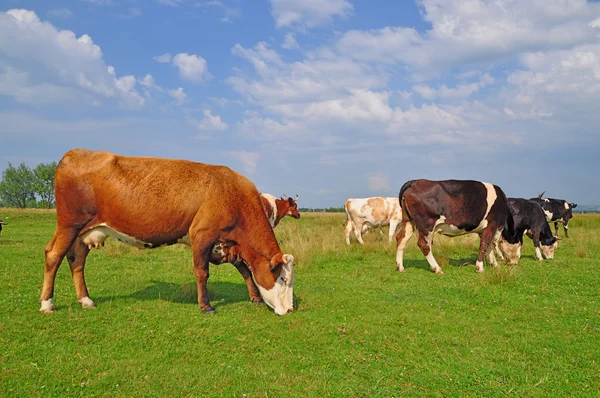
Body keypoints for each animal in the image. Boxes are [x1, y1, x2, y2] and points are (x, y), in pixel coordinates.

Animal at [39, 149, 296, 318]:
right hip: (69, 224)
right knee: (53, 255)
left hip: (84, 232)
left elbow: (245, 269)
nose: (290, 309)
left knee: (77, 260)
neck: (232, 194)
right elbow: (202, 273)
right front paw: (206, 306)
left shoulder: (227, 245)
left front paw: (255, 297)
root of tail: (75, 153)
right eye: (283, 278)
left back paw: (86, 300)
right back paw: (47, 304)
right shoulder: (202, 235)